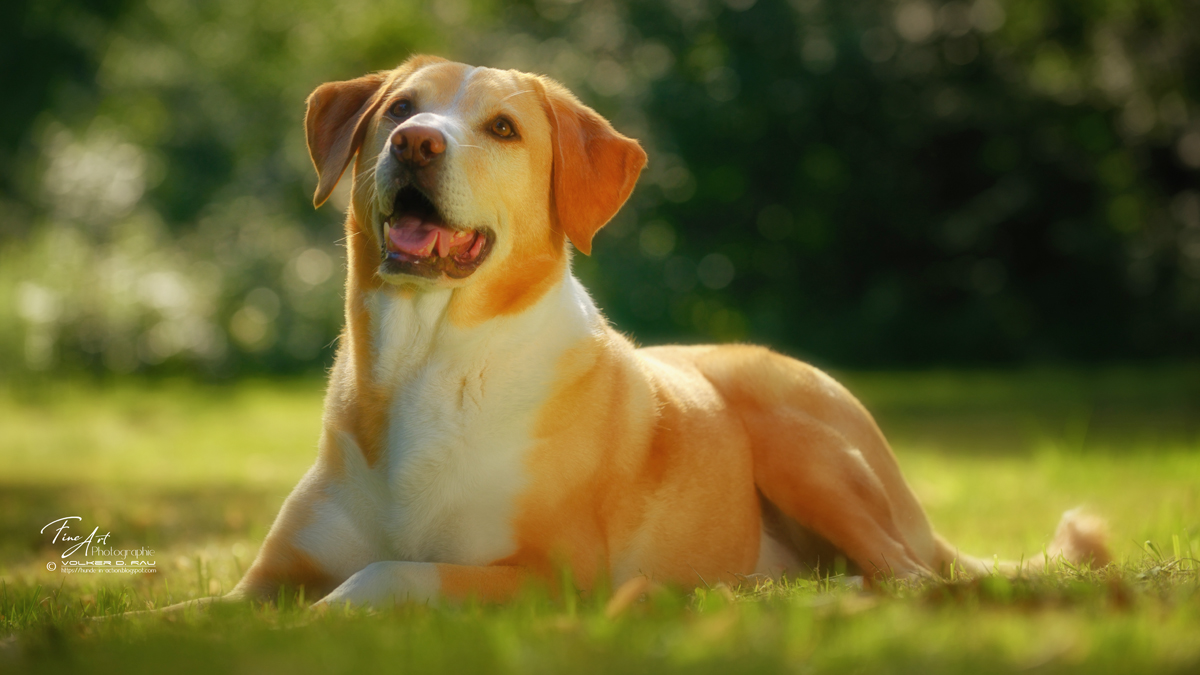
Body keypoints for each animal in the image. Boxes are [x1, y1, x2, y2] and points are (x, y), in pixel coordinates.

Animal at [218, 55, 1104, 607]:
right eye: (399, 108)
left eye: (503, 129)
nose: (415, 141)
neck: (419, 362)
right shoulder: (263, 578)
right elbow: (203, 608)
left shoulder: (547, 574)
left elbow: (380, 574)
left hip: (794, 437)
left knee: (914, 577)